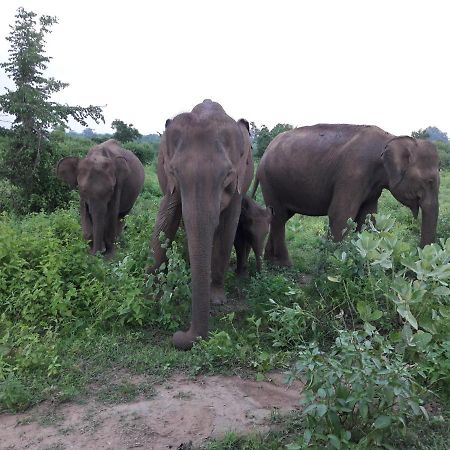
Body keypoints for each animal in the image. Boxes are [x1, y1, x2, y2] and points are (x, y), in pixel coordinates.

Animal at [150, 99, 253, 352]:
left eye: (227, 175)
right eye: (174, 171)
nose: (178, 335)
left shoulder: (239, 184)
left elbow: (227, 229)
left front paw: (217, 300)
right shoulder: (169, 182)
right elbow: (166, 219)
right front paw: (152, 291)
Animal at [255, 123, 442, 268]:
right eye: (430, 181)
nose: (418, 264)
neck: (391, 138)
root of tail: (265, 151)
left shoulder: (373, 186)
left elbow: (368, 216)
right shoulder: (352, 174)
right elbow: (341, 215)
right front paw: (334, 266)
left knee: (279, 216)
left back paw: (270, 262)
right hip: (270, 181)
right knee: (279, 217)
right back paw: (285, 266)